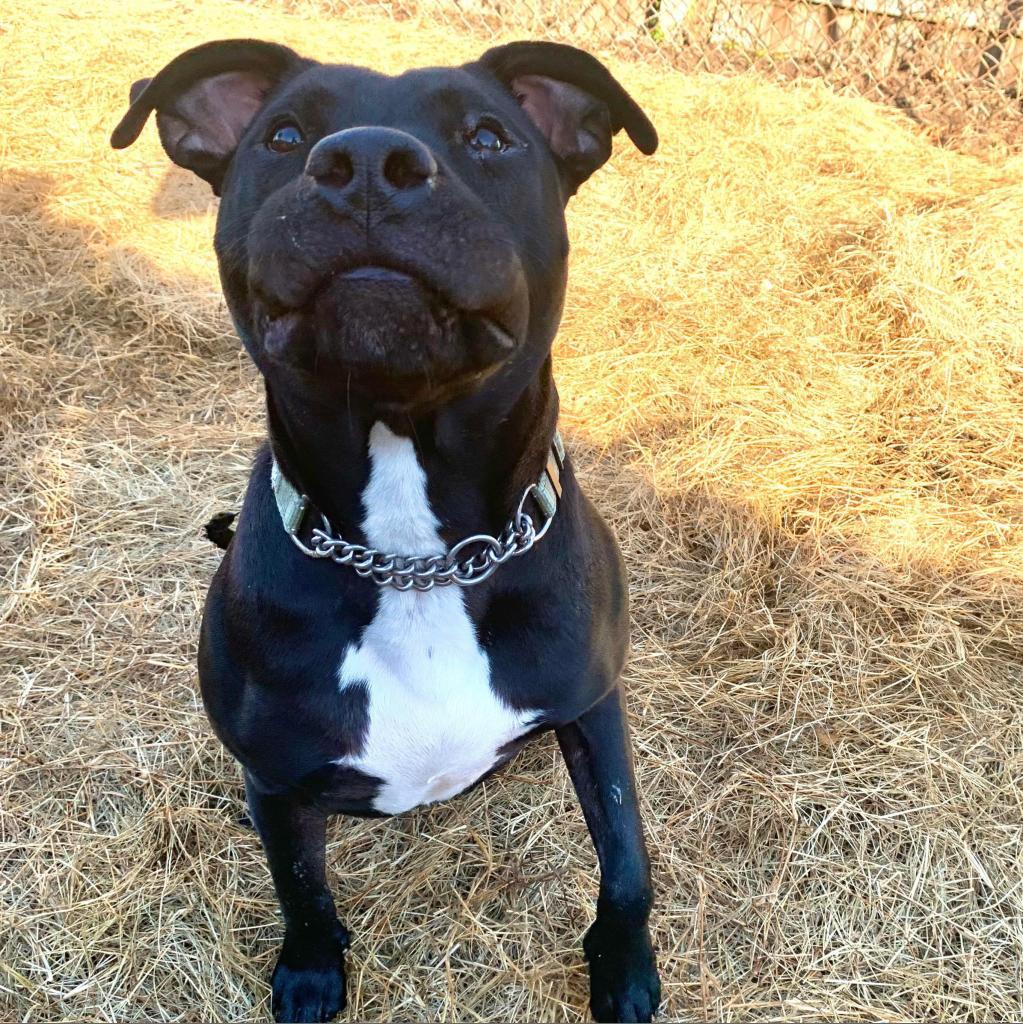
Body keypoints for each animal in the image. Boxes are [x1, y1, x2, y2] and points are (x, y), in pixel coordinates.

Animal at [110, 37, 655, 1024]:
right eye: (284, 136)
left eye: (488, 137)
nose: (365, 163)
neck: (416, 558)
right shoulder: (276, 778)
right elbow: (300, 886)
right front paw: (310, 971)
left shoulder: (595, 705)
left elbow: (625, 854)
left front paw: (626, 970)